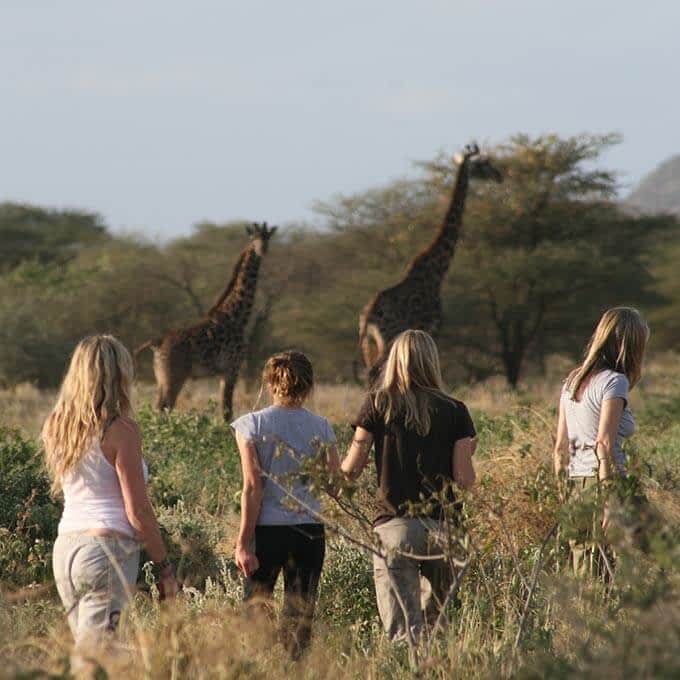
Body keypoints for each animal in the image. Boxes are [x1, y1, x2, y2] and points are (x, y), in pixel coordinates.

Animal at [135, 223, 276, 420]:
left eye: (267, 237)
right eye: (253, 238)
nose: (263, 250)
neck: (237, 316)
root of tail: (157, 343)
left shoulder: (225, 373)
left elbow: (226, 412)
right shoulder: (232, 369)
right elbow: (227, 413)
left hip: (161, 377)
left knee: (160, 407)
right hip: (173, 376)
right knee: (163, 407)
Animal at [358, 143, 502, 380]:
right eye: (484, 163)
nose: (499, 175)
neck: (437, 271)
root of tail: (367, 317)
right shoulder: (430, 326)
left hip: (369, 343)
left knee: (370, 371)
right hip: (388, 336)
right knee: (375, 371)